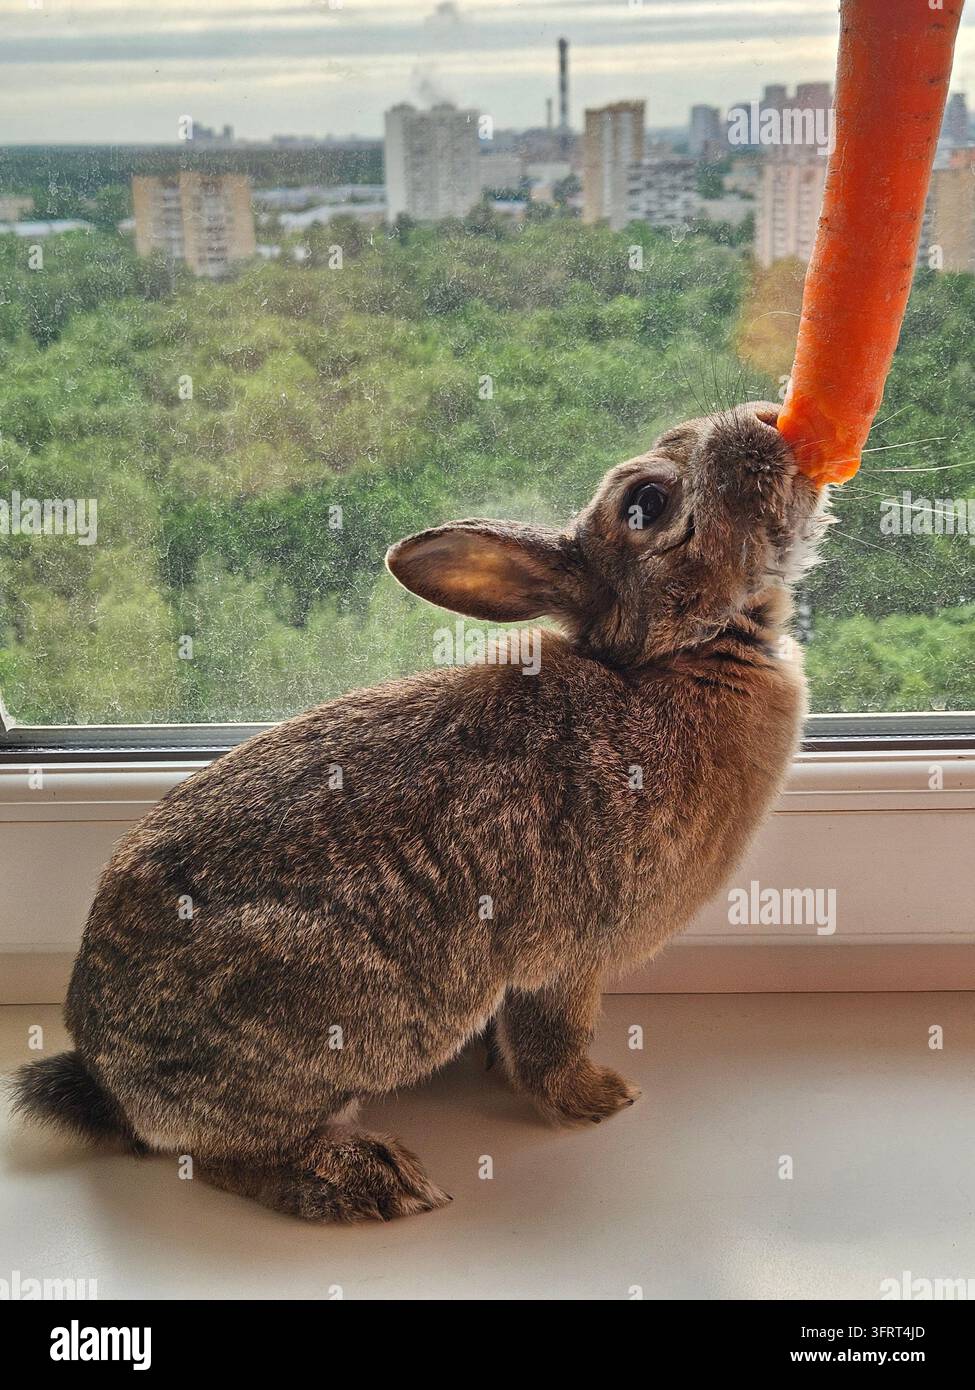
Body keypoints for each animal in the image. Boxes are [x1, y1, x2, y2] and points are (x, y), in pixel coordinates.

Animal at [12, 401, 830, 1223]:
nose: (767, 418)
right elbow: (553, 1037)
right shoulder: (568, 954)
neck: (675, 655)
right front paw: (598, 1098)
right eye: (647, 504)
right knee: (215, 1156)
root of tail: (110, 1079)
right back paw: (369, 1180)